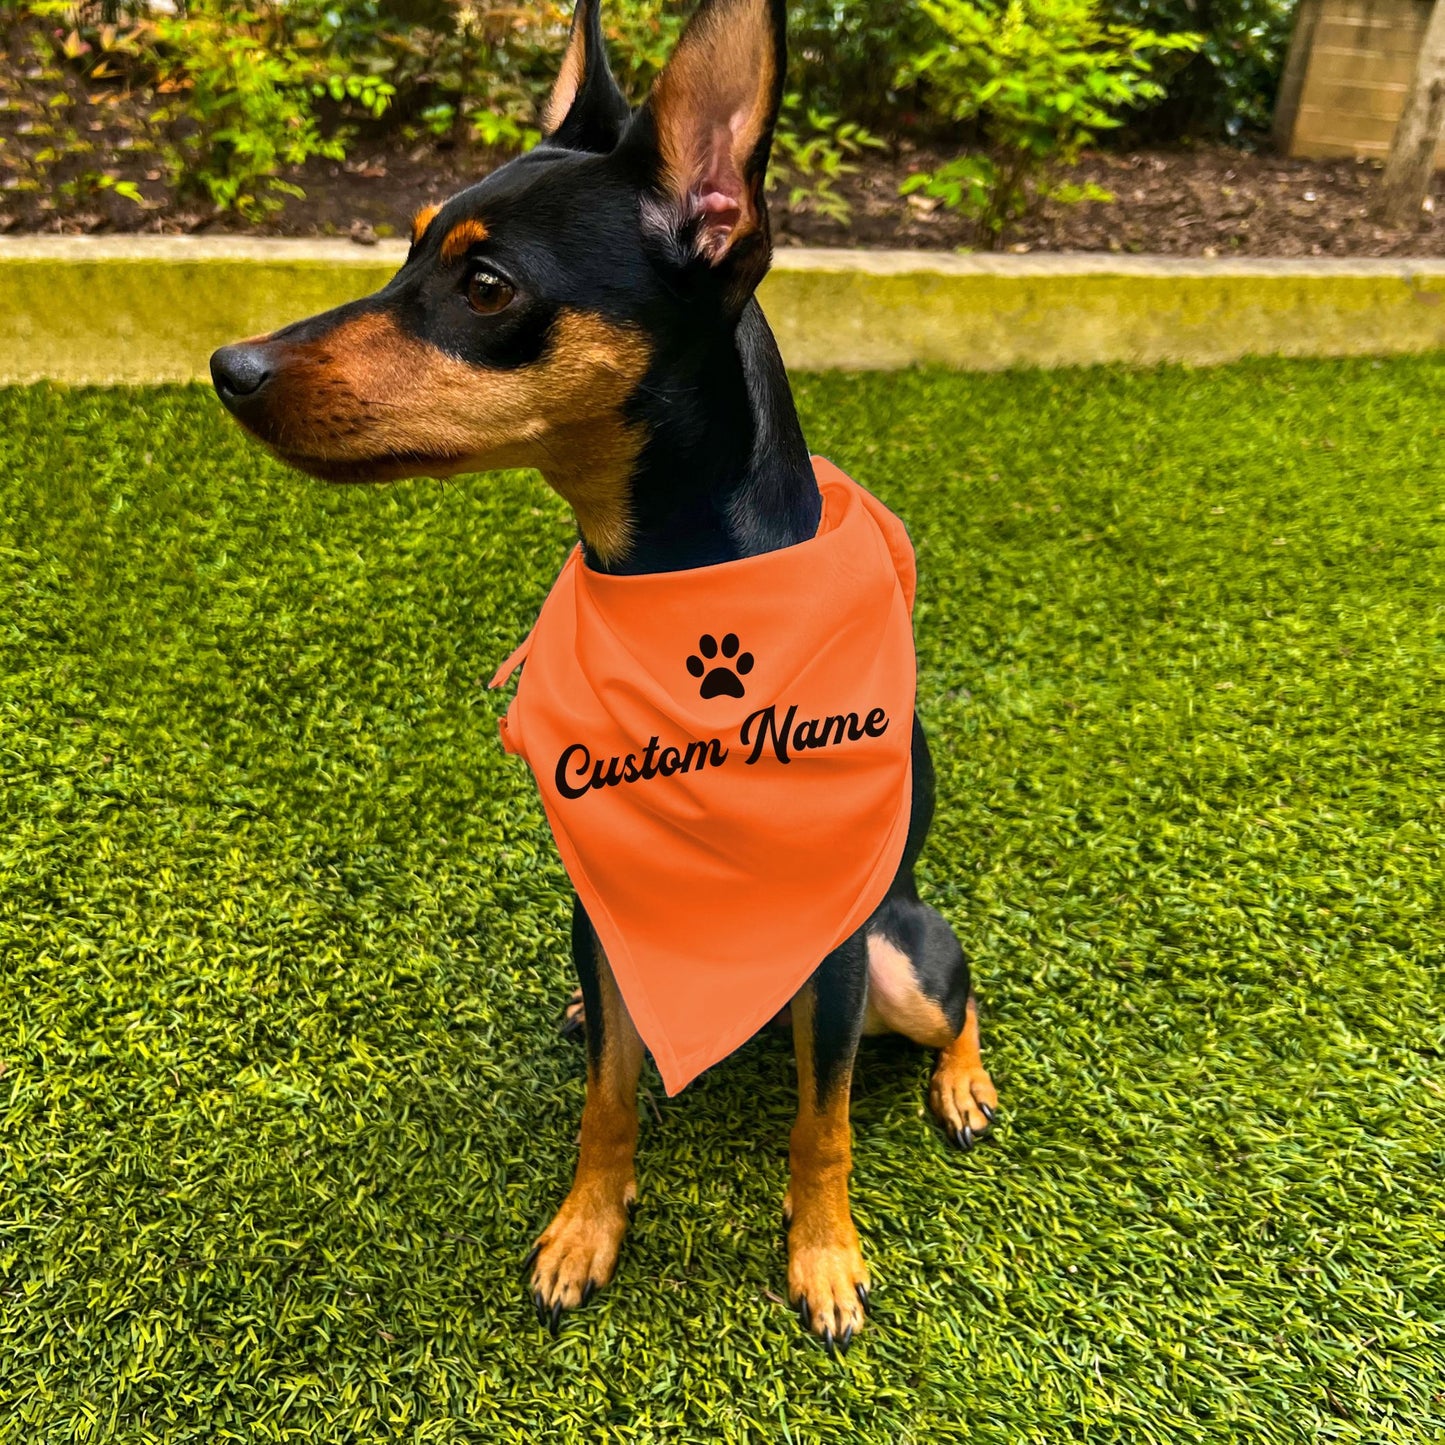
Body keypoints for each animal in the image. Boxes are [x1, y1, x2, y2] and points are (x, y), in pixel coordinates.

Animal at [209, 0, 999, 1352]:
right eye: (405, 251)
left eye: (484, 286)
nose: (230, 366)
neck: (667, 592)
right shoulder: (602, 896)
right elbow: (610, 1098)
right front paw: (586, 1227)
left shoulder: (834, 954)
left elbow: (823, 1123)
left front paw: (824, 1256)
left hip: (900, 953)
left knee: (961, 1000)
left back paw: (962, 1085)